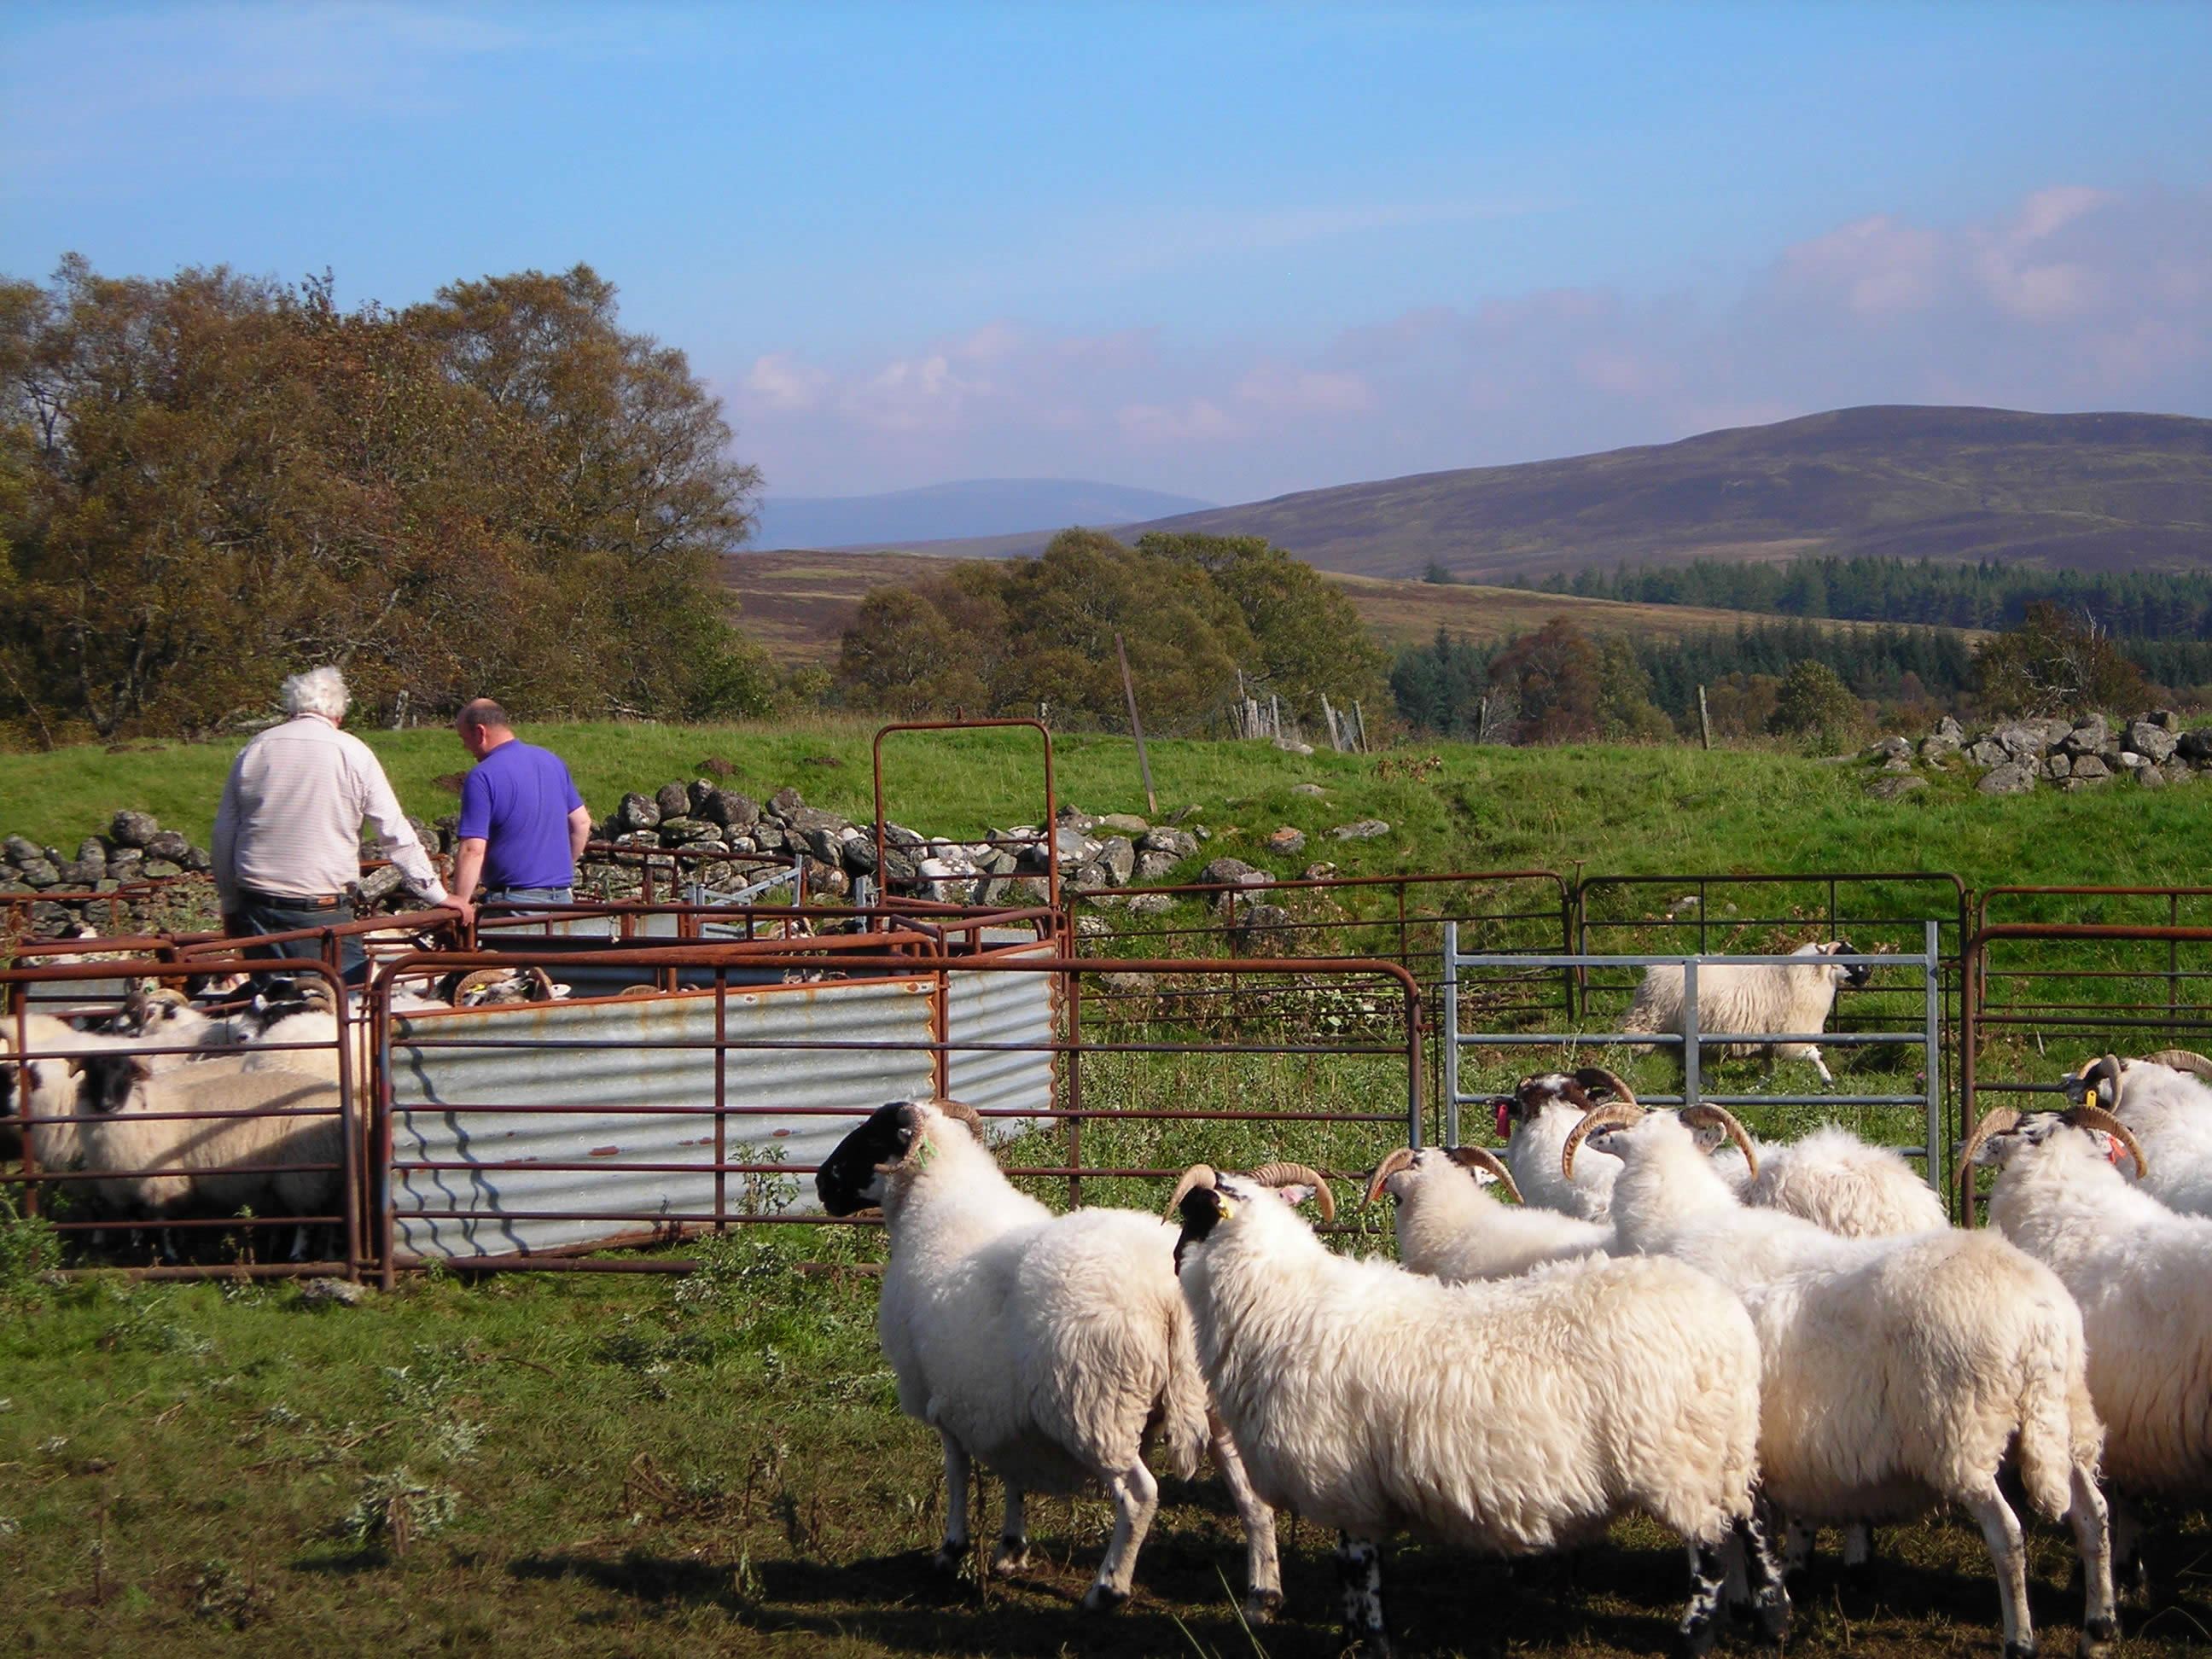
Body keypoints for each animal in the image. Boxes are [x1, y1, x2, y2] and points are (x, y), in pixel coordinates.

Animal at [1167, 1159, 1787, 1659]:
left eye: (1193, 1217)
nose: (1172, 1259)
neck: (1279, 1304)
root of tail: (1730, 1318)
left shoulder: (1346, 1483)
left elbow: (1358, 1573)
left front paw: (1369, 1644)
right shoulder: (1356, 1487)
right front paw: (1352, 1640)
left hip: (1677, 1458)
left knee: (1710, 1552)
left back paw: (1693, 1641)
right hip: (1724, 1446)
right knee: (1751, 1522)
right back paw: (1773, 1623)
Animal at [1566, 1097, 2114, 1654]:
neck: (1677, 1221)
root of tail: (2041, 1319)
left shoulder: (1711, 1429)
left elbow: (1727, 1532)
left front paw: (1738, 1605)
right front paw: (1749, 1600)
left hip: (1963, 1433)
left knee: (2008, 1533)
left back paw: (2020, 1638)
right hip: (2064, 1416)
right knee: (2093, 1515)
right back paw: (2099, 1626)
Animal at [1627, 946, 1866, 1092]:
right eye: (1847, 957)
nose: (1868, 975)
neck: (1809, 978)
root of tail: (1654, 973)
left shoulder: (1769, 1044)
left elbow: (1770, 1072)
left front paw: (1756, 1088)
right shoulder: (1792, 1039)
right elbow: (1816, 1057)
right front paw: (1829, 1081)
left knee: (1687, 1064)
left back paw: (1709, 1084)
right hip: (1648, 1022)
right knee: (1632, 1051)